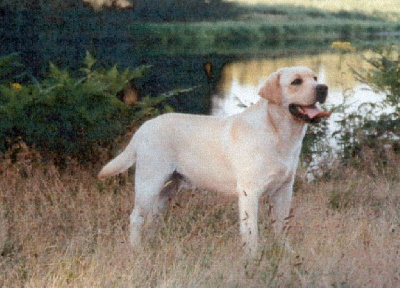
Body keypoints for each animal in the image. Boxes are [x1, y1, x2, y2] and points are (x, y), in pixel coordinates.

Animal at [98, 66, 330, 255]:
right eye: (296, 82)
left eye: (315, 77)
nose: (323, 88)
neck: (279, 133)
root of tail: (145, 126)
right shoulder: (249, 192)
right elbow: (251, 231)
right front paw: (253, 257)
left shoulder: (284, 190)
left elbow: (281, 226)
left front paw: (285, 252)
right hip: (149, 184)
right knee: (135, 218)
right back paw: (136, 249)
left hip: (167, 189)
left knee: (151, 219)